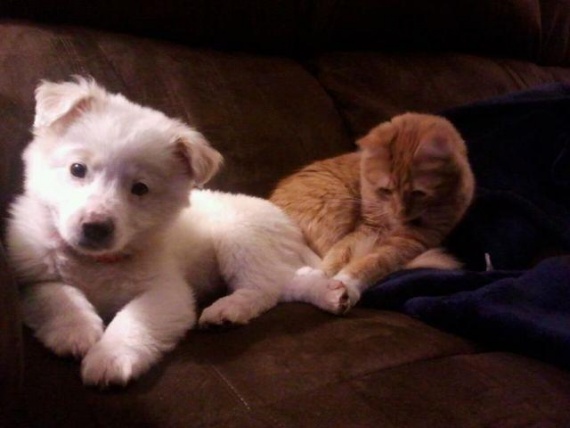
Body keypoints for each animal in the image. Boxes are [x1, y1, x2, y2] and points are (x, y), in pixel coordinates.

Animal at [6, 77, 349, 387]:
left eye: (140, 189)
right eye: (77, 169)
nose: (95, 228)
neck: (96, 262)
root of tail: (287, 224)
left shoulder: (168, 291)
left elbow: (133, 320)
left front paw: (109, 358)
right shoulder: (31, 279)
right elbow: (58, 294)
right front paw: (76, 331)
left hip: (241, 239)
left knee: (264, 288)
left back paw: (227, 310)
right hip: (267, 254)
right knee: (289, 280)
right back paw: (330, 294)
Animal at [272, 113, 475, 314]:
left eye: (418, 193)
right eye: (385, 190)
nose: (399, 212)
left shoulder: (411, 240)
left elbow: (369, 263)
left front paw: (344, 284)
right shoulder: (368, 228)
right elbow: (338, 255)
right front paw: (325, 281)